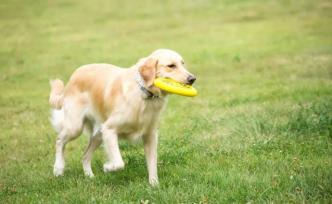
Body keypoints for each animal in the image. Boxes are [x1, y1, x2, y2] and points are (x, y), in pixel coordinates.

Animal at [48, 48, 196, 186]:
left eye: (182, 64)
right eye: (171, 66)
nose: (192, 79)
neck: (144, 94)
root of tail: (74, 75)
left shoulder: (150, 135)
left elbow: (152, 163)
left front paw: (154, 185)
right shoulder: (109, 129)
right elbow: (119, 163)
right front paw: (108, 167)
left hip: (98, 134)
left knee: (84, 156)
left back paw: (89, 176)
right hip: (76, 127)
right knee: (59, 140)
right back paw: (58, 168)